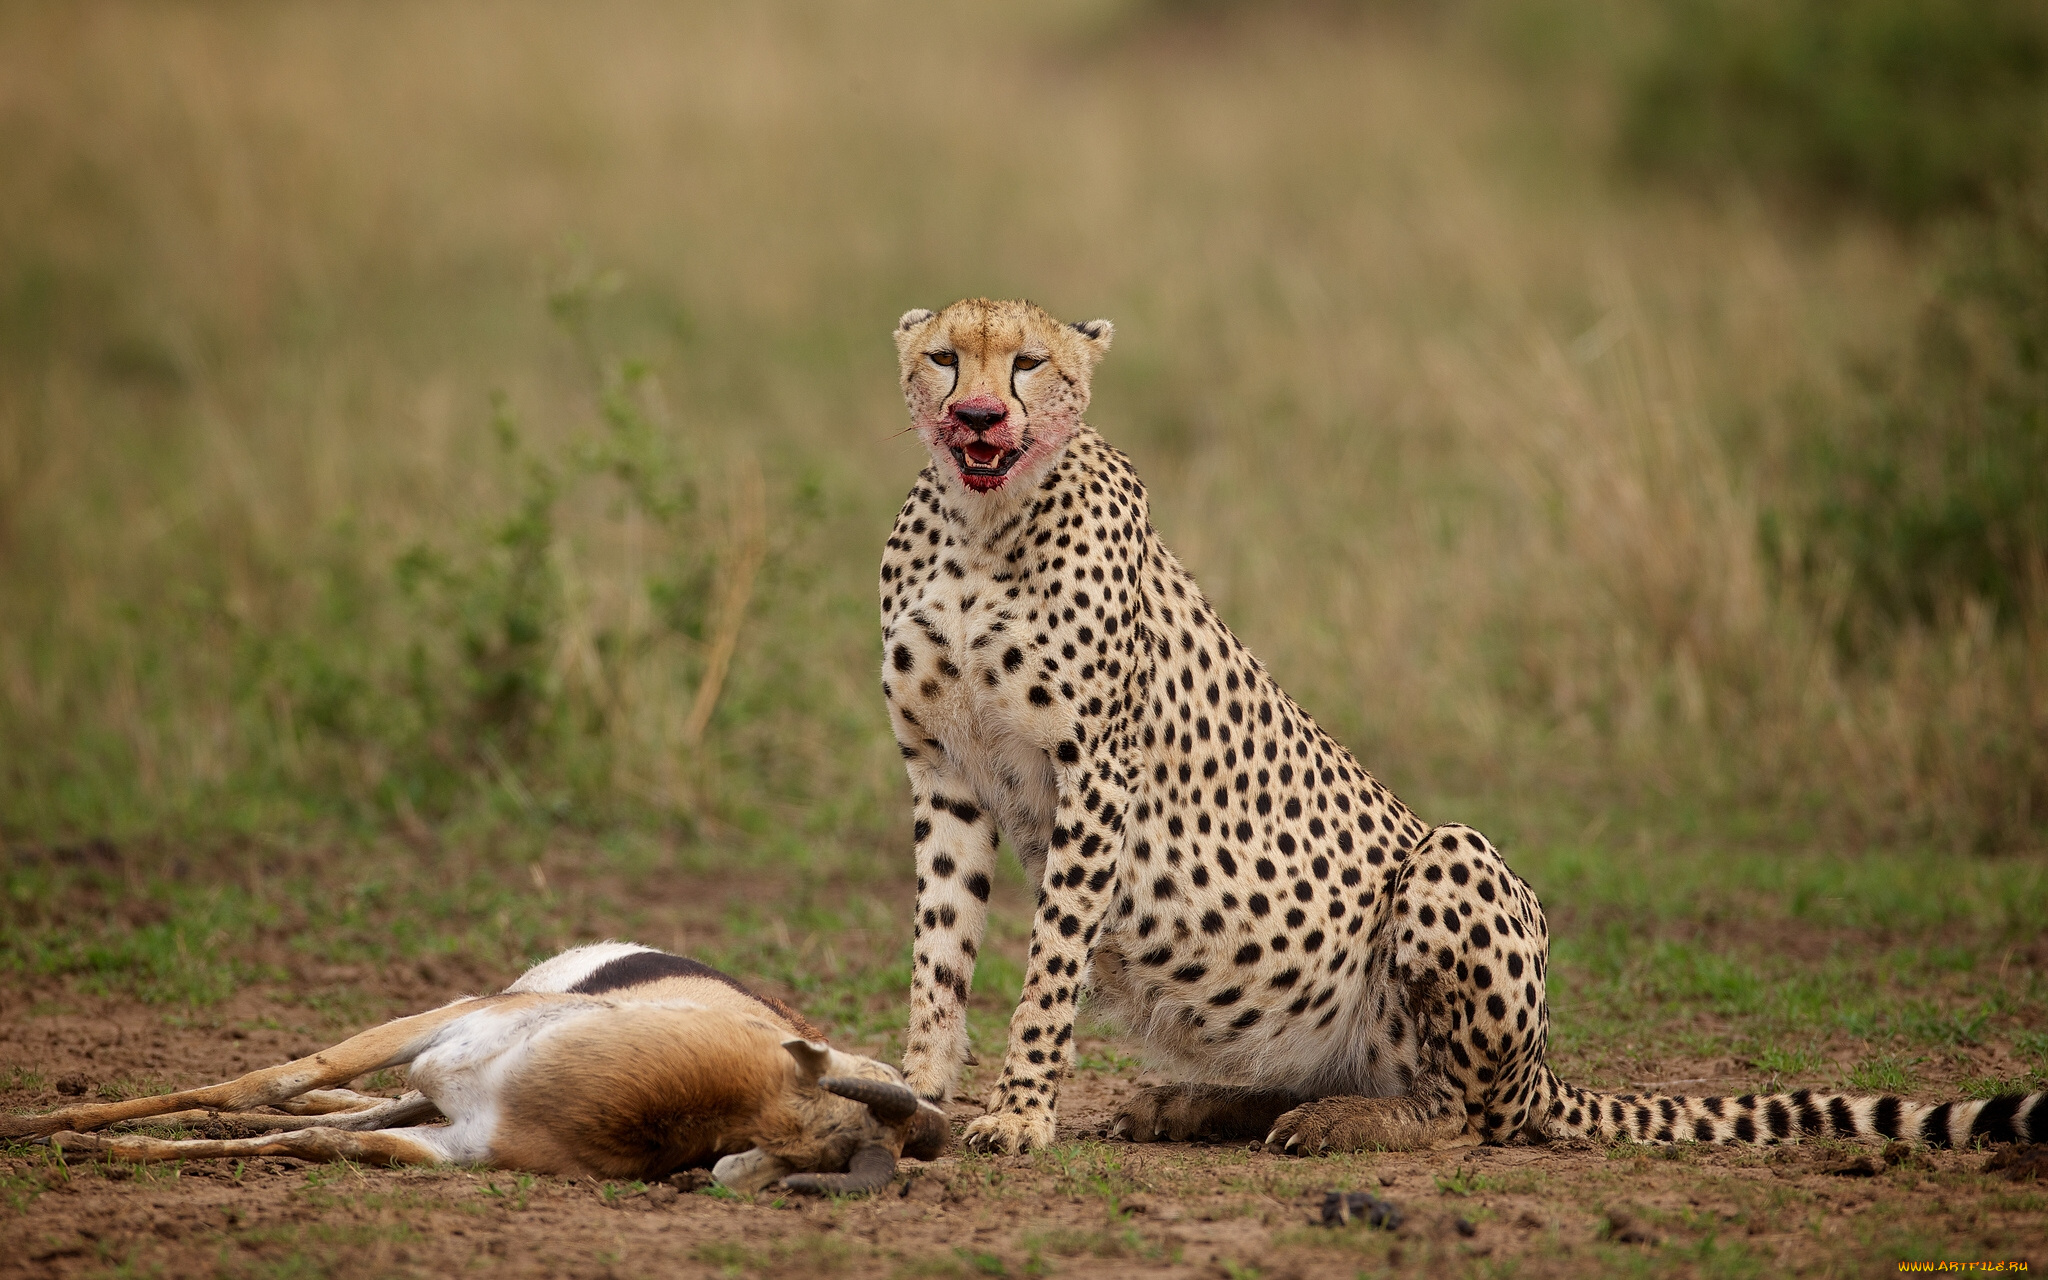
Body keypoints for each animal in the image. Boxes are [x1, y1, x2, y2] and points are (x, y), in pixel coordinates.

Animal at [880, 299, 2048, 1155]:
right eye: (945, 358)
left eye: (1028, 364)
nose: (978, 418)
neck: (982, 527)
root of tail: (1545, 1072)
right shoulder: (945, 772)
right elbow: (941, 948)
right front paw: (919, 1089)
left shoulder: (1095, 775)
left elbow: (1048, 964)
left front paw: (1018, 1113)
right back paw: (1198, 1102)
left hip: (1453, 860)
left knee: (1468, 1115)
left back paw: (1351, 1122)